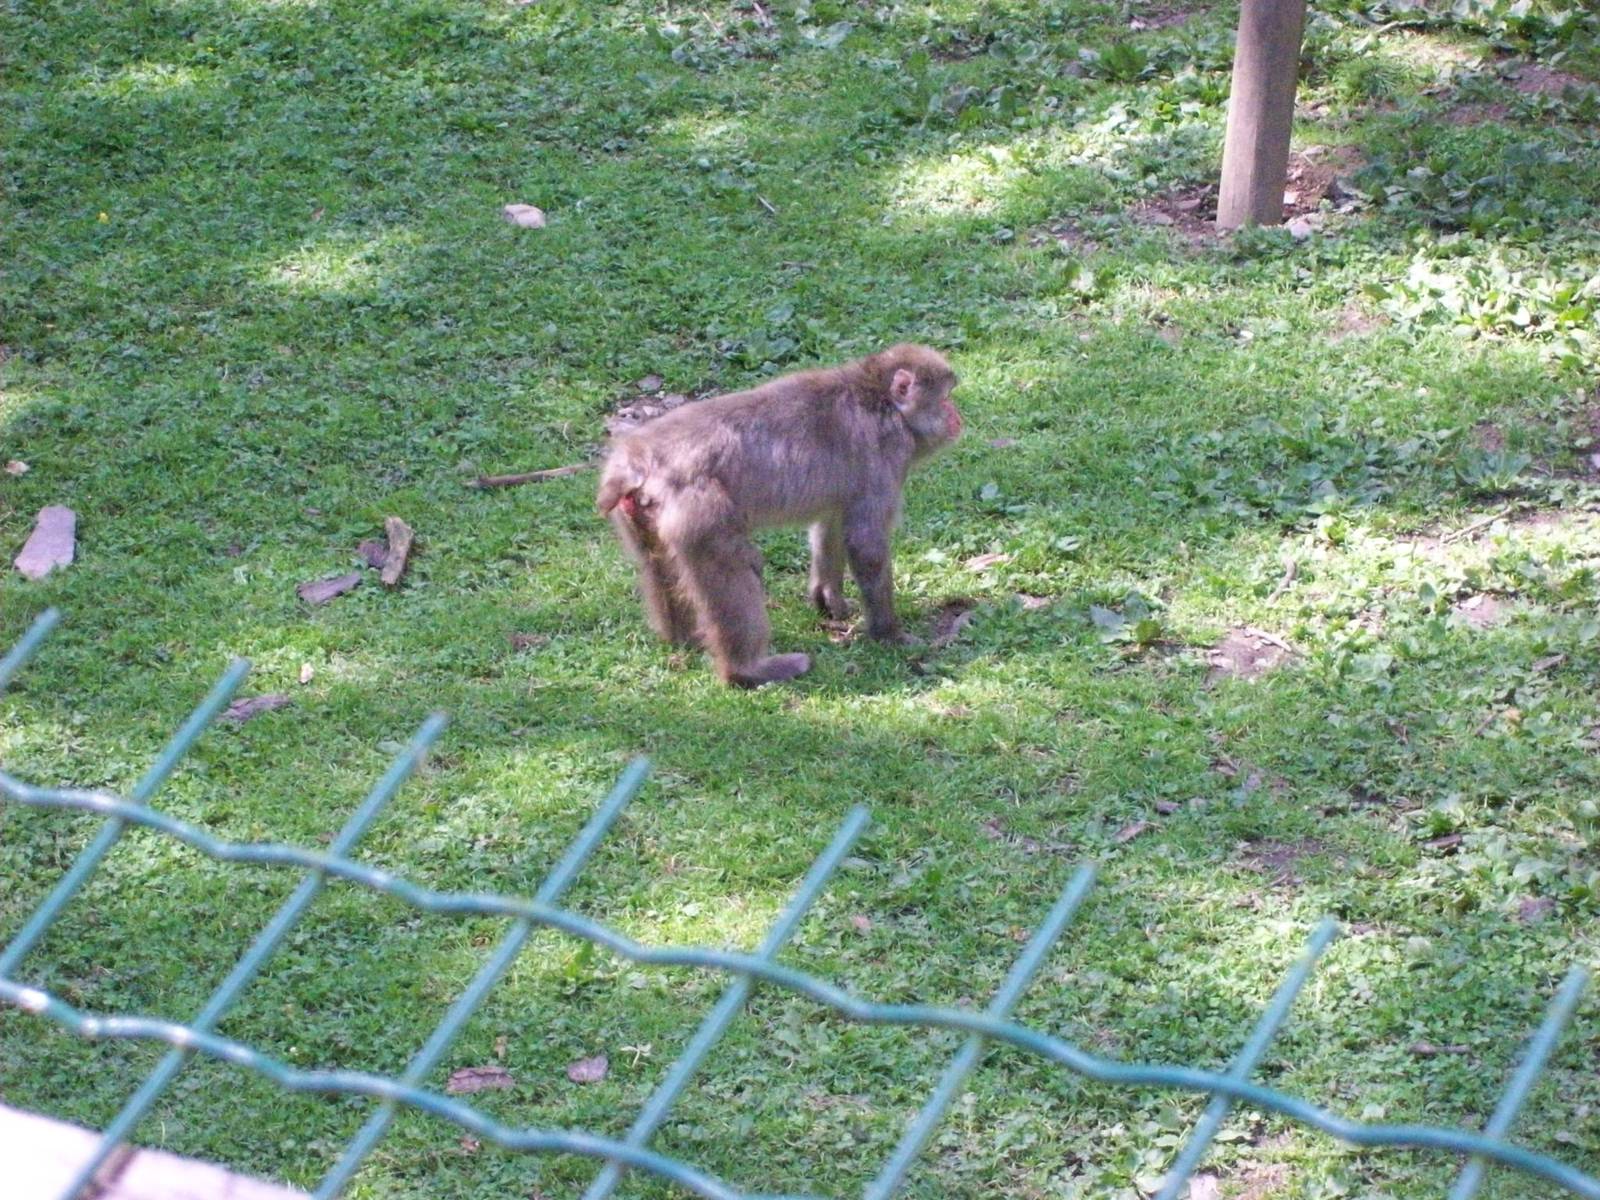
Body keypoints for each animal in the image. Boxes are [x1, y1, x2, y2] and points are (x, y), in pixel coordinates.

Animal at [596, 344, 963, 688]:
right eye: (945, 398)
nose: (958, 416)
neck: (880, 399)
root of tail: (635, 459)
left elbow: (831, 523)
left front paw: (828, 596)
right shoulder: (887, 455)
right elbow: (866, 545)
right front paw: (890, 635)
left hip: (640, 515)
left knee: (657, 563)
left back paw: (685, 639)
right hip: (698, 511)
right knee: (733, 565)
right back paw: (746, 670)